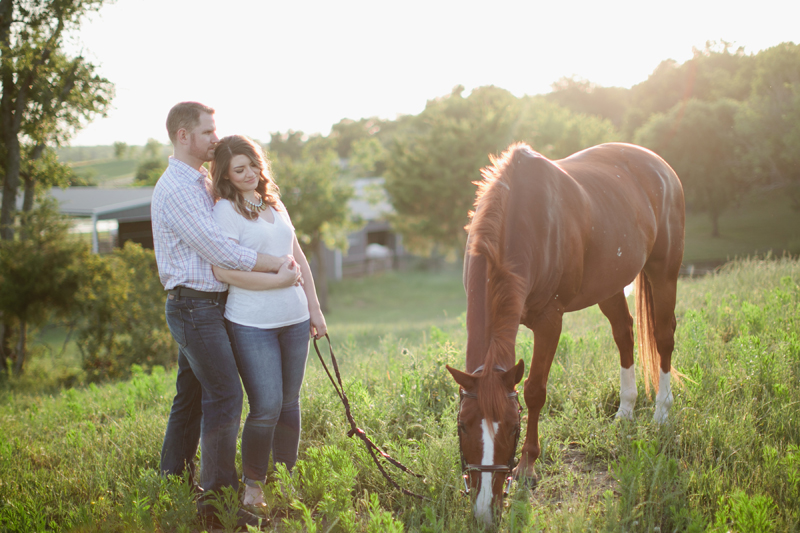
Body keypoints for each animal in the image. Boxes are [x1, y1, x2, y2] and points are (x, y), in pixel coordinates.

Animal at [446, 141, 684, 524]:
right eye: (462, 426)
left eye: (513, 428)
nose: (484, 510)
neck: (523, 218)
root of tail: (660, 165)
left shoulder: (549, 321)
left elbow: (535, 391)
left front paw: (527, 467)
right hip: (609, 285)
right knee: (624, 334)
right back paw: (626, 411)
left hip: (664, 271)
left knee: (663, 336)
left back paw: (662, 413)